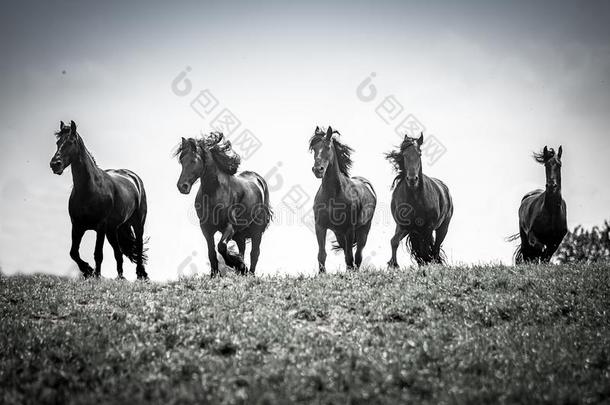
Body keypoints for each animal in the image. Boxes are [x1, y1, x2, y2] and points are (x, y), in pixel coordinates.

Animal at [49, 119, 148, 278]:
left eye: (70, 142)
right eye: (58, 142)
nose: (54, 164)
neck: (90, 190)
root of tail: (133, 177)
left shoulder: (100, 227)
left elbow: (98, 254)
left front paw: (96, 275)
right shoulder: (77, 226)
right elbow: (73, 252)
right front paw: (88, 270)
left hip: (137, 224)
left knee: (138, 247)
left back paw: (140, 274)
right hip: (113, 230)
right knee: (119, 253)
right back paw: (120, 277)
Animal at [176, 131, 270, 276]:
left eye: (193, 160)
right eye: (181, 160)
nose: (182, 186)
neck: (215, 192)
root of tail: (259, 180)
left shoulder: (229, 226)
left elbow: (222, 246)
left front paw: (237, 265)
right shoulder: (206, 228)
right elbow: (211, 252)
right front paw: (214, 275)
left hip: (256, 231)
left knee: (254, 253)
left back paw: (250, 274)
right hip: (240, 234)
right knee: (243, 249)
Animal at [308, 126, 376, 272]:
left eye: (328, 147)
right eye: (314, 149)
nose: (318, 170)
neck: (332, 195)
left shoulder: (349, 229)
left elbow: (350, 256)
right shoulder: (320, 227)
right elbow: (322, 254)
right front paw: (321, 274)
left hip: (363, 230)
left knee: (358, 255)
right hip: (339, 233)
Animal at [384, 132, 452, 266]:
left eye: (419, 154)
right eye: (404, 155)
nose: (412, 179)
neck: (415, 198)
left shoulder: (428, 228)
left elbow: (425, 250)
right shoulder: (403, 226)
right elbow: (394, 241)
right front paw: (394, 265)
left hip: (443, 228)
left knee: (435, 248)